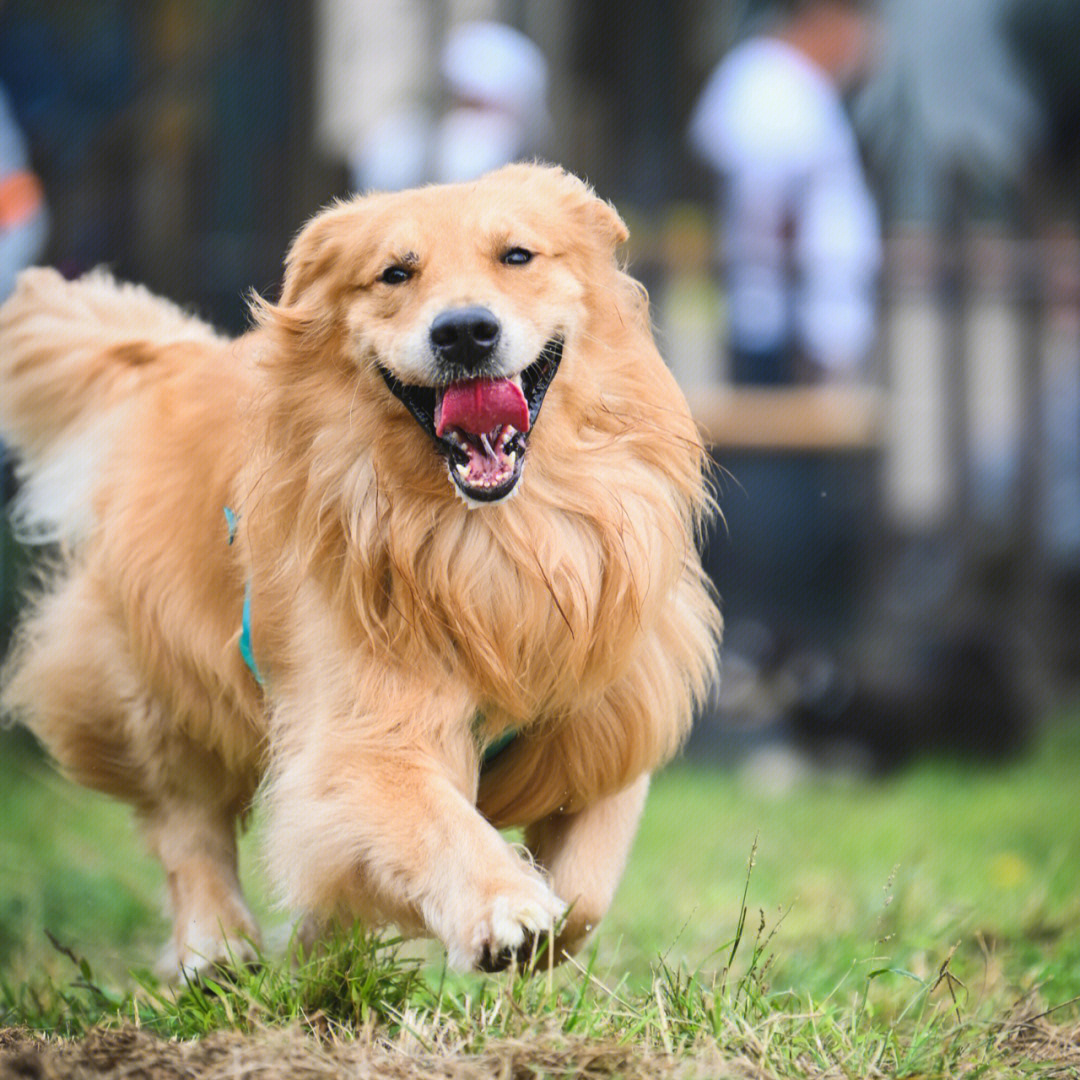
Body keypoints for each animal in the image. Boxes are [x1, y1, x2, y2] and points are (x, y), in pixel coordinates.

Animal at [0, 164, 717, 976]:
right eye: (394, 273)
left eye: (517, 256)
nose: (464, 331)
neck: (496, 542)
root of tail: (173, 361)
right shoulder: (363, 728)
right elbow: (433, 819)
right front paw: (503, 906)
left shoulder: (611, 718)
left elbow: (587, 887)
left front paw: (540, 919)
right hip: (160, 682)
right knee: (184, 818)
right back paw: (218, 946)